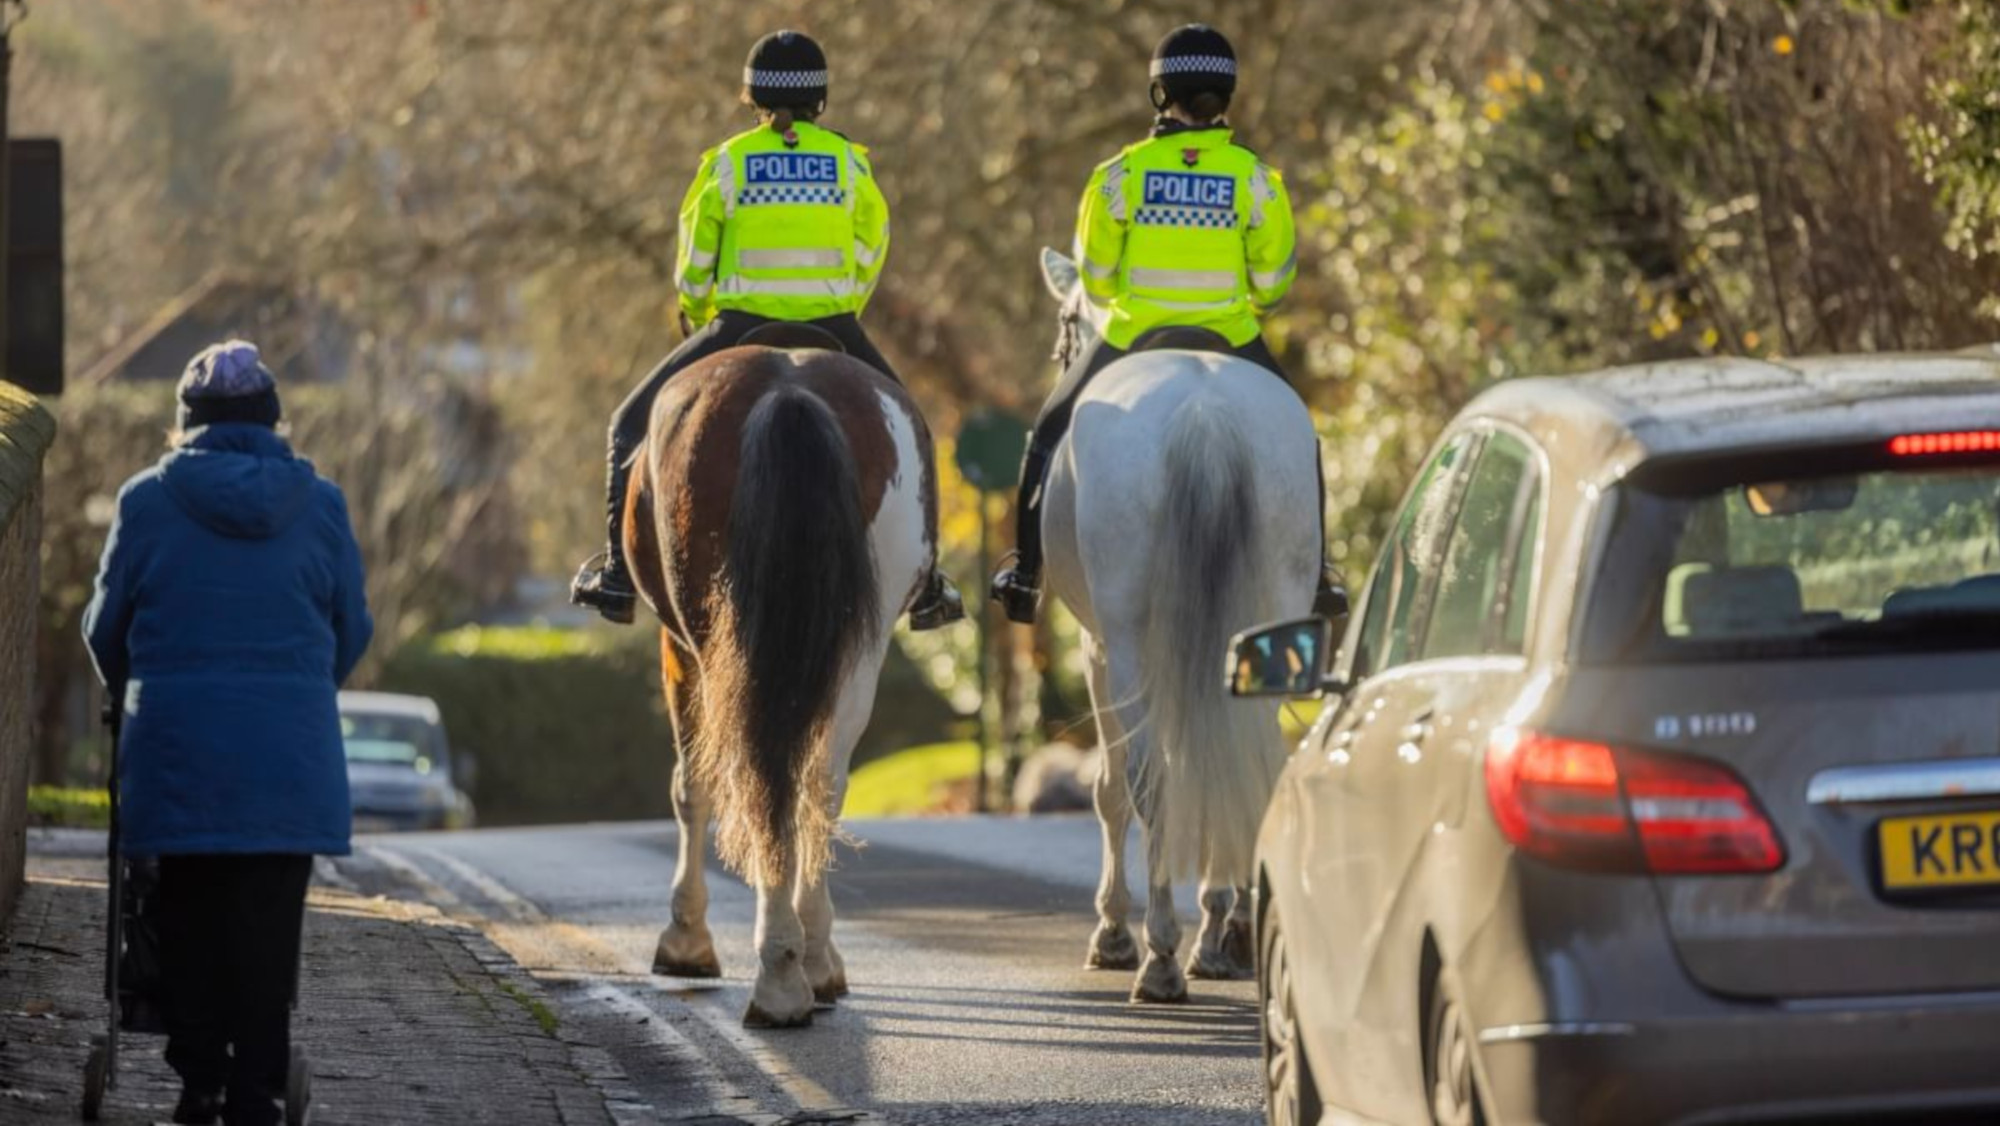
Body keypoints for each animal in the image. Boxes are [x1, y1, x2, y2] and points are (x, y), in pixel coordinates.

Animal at [624, 326, 939, 1028]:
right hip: (859, 648)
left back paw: (781, 974)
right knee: (818, 782)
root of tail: (788, 389)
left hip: (714, 645)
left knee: (749, 774)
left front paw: (685, 942)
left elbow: (691, 786)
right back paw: (802, 965)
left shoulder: (676, 647)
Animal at [1035, 248, 1322, 1003]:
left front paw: (1112, 931)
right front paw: (1226, 922)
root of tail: (1205, 413)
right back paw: (1223, 933)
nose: (1060, 351)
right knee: (1246, 759)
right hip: (1264, 626)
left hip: (1131, 645)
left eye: (1067, 321)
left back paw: (1161, 953)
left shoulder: (1096, 649)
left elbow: (1109, 791)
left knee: (1147, 779)